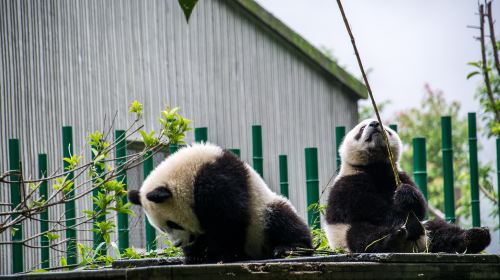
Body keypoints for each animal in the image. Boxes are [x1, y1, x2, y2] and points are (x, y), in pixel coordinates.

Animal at [127, 143, 310, 264]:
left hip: (261, 213)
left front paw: (217, 255)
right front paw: (194, 254)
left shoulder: (216, 179)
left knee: (281, 219)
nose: (178, 244)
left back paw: (289, 248)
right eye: (162, 229)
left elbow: (228, 220)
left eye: (173, 223)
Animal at [324, 118, 492, 254]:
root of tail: (417, 248)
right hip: (343, 234)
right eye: (361, 128)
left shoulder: (397, 175)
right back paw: (395, 238)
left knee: (440, 229)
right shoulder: (349, 182)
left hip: (428, 231)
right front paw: (400, 216)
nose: (374, 123)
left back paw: (475, 236)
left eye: (387, 129)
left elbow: (420, 207)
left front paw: (405, 195)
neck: (375, 165)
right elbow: (366, 206)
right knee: (362, 236)